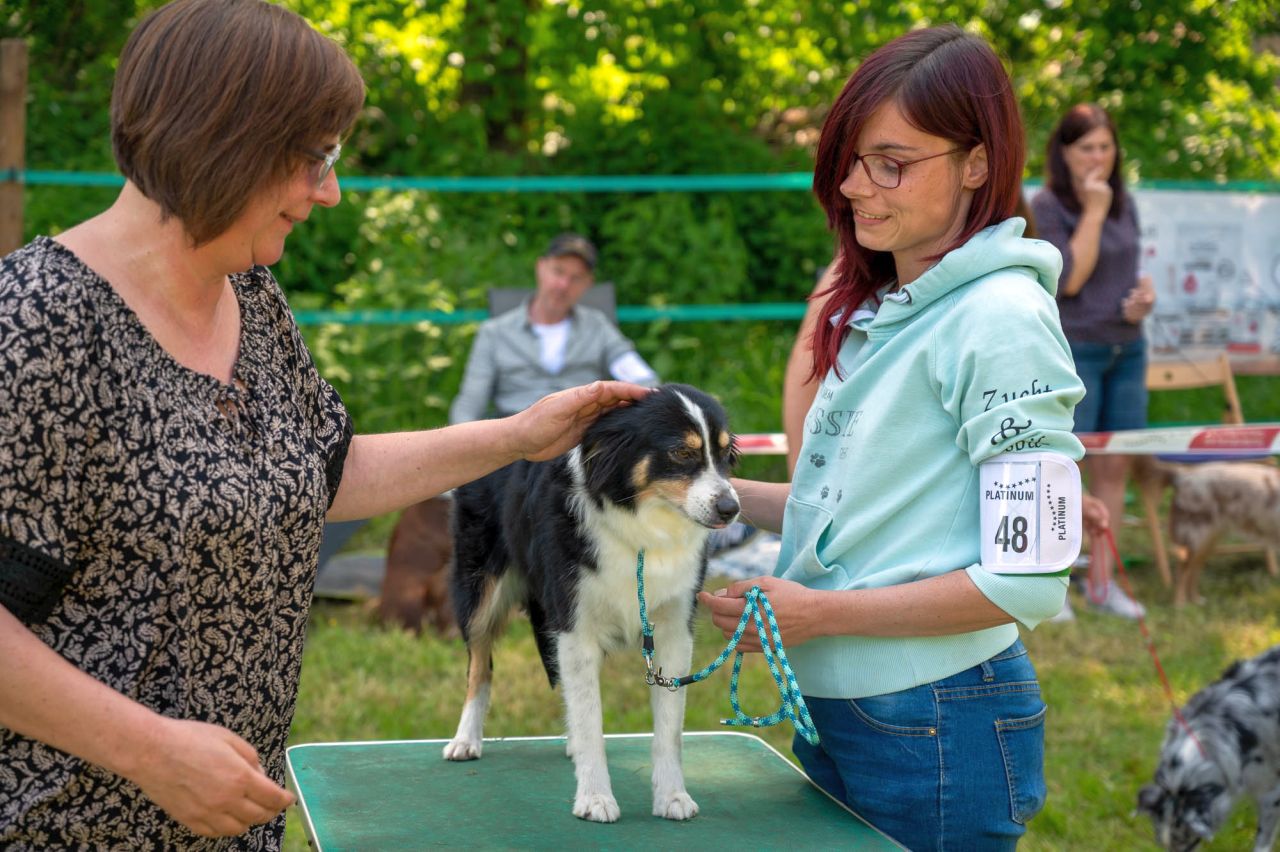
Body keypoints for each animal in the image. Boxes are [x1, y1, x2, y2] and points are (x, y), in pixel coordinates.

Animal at [445, 381, 742, 818]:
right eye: (681, 453)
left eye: (724, 456)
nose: (730, 508)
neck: (644, 528)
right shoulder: (574, 624)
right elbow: (590, 721)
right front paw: (595, 797)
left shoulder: (673, 630)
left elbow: (668, 730)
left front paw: (672, 796)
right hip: (480, 589)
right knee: (479, 667)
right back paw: (466, 739)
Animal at [1136, 457, 1280, 603]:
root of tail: (1182, 475)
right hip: (1194, 537)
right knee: (1182, 571)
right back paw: (1180, 604)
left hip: (1208, 541)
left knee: (1193, 570)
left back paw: (1195, 601)